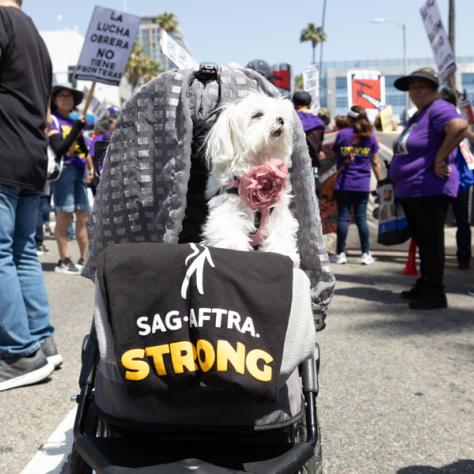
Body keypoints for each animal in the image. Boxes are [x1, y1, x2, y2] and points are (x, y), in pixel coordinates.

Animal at [201, 90, 300, 264]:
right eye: (257, 115)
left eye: (280, 113)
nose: (280, 119)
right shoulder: (227, 206)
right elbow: (229, 231)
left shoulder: (278, 213)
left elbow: (280, 236)